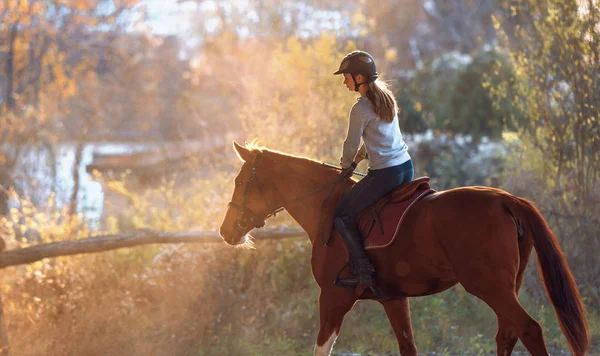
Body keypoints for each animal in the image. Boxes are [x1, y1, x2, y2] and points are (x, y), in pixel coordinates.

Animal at [218, 142, 588, 356]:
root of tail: (505, 200)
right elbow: (408, 346)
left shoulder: (334, 298)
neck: (326, 208)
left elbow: (322, 349)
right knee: (507, 335)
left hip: (491, 287)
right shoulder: (393, 298)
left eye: (241, 182)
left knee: (529, 330)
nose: (225, 231)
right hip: (505, 287)